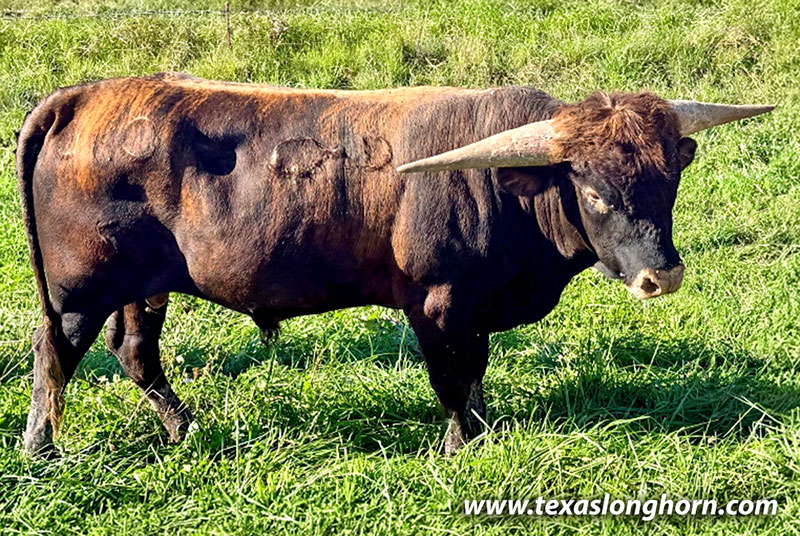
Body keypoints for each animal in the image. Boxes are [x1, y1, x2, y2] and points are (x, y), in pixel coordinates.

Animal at [16, 72, 772, 455]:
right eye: (592, 191)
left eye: (669, 182)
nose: (660, 276)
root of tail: (80, 97)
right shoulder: (435, 303)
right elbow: (451, 378)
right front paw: (460, 445)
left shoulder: (476, 308)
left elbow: (476, 370)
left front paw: (484, 427)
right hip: (80, 290)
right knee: (54, 353)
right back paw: (40, 449)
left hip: (142, 286)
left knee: (134, 350)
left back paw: (185, 430)